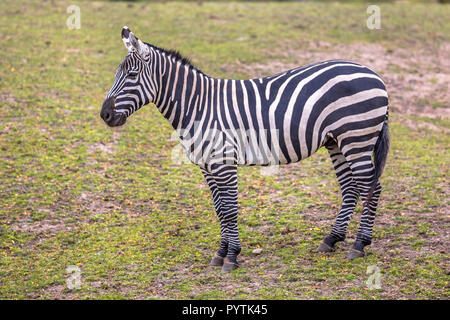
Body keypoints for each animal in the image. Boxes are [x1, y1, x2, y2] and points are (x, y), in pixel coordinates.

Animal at [100, 26, 388, 272]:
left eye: (132, 76)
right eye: (115, 75)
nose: (104, 115)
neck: (198, 105)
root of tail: (374, 74)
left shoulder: (223, 162)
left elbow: (229, 209)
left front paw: (231, 256)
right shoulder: (207, 165)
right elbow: (219, 210)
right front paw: (221, 253)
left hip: (356, 138)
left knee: (371, 187)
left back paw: (359, 244)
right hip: (335, 141)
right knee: (350, 188)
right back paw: (332, 239)